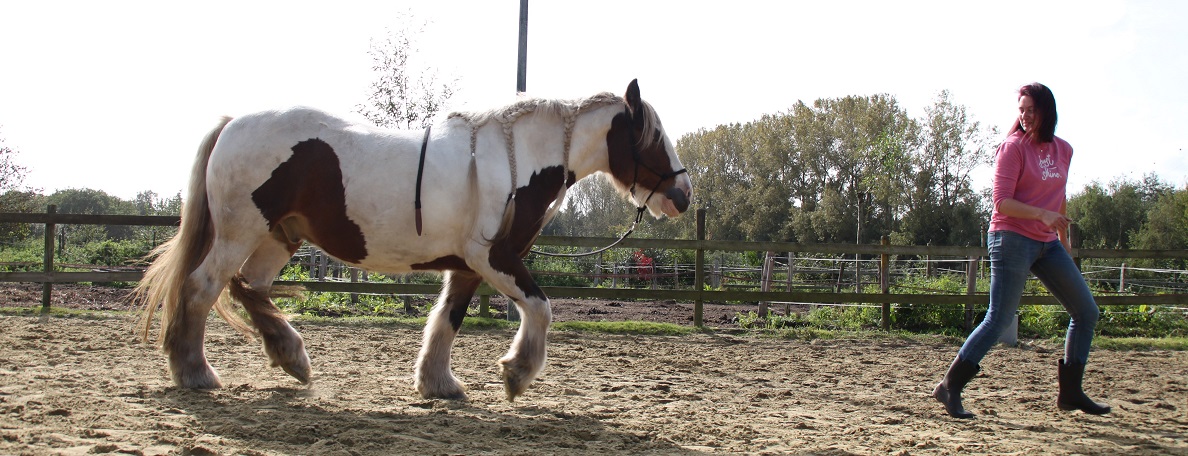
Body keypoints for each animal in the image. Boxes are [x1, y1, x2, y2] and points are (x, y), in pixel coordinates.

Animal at [134, 79, 693, 401]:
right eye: (651, 137)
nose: (683, 195)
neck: (516, 162)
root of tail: (233, 124)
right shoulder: (493, 257)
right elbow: (540, 308)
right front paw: (516, 373)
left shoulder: (468, 266)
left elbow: (447, 320)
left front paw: (438, 384)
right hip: (240, 231)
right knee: (202, 288)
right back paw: (194, 372)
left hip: (279, 237)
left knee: (249, 288)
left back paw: (291, 357)